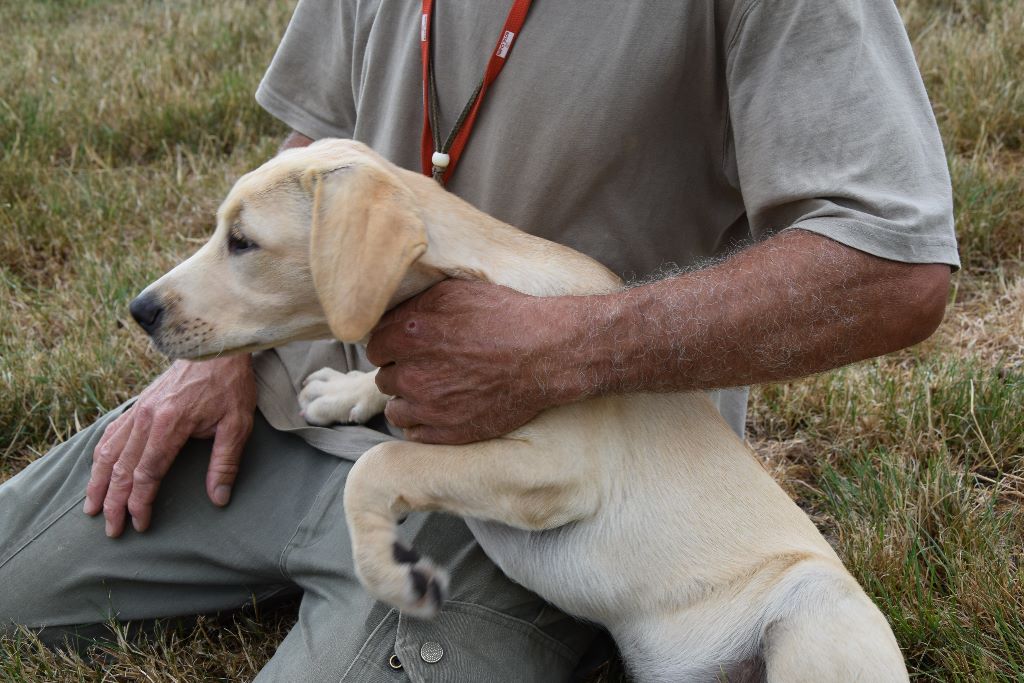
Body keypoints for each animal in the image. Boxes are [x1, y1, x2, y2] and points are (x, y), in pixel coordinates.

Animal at [132, 140, 909, 683]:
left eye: (243, 242)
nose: (138, 310)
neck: (476, 266)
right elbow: (387, 396)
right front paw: (344, 392)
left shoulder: (556, 470)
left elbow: (380, 462)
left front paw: (387, 569)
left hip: (814, 612)